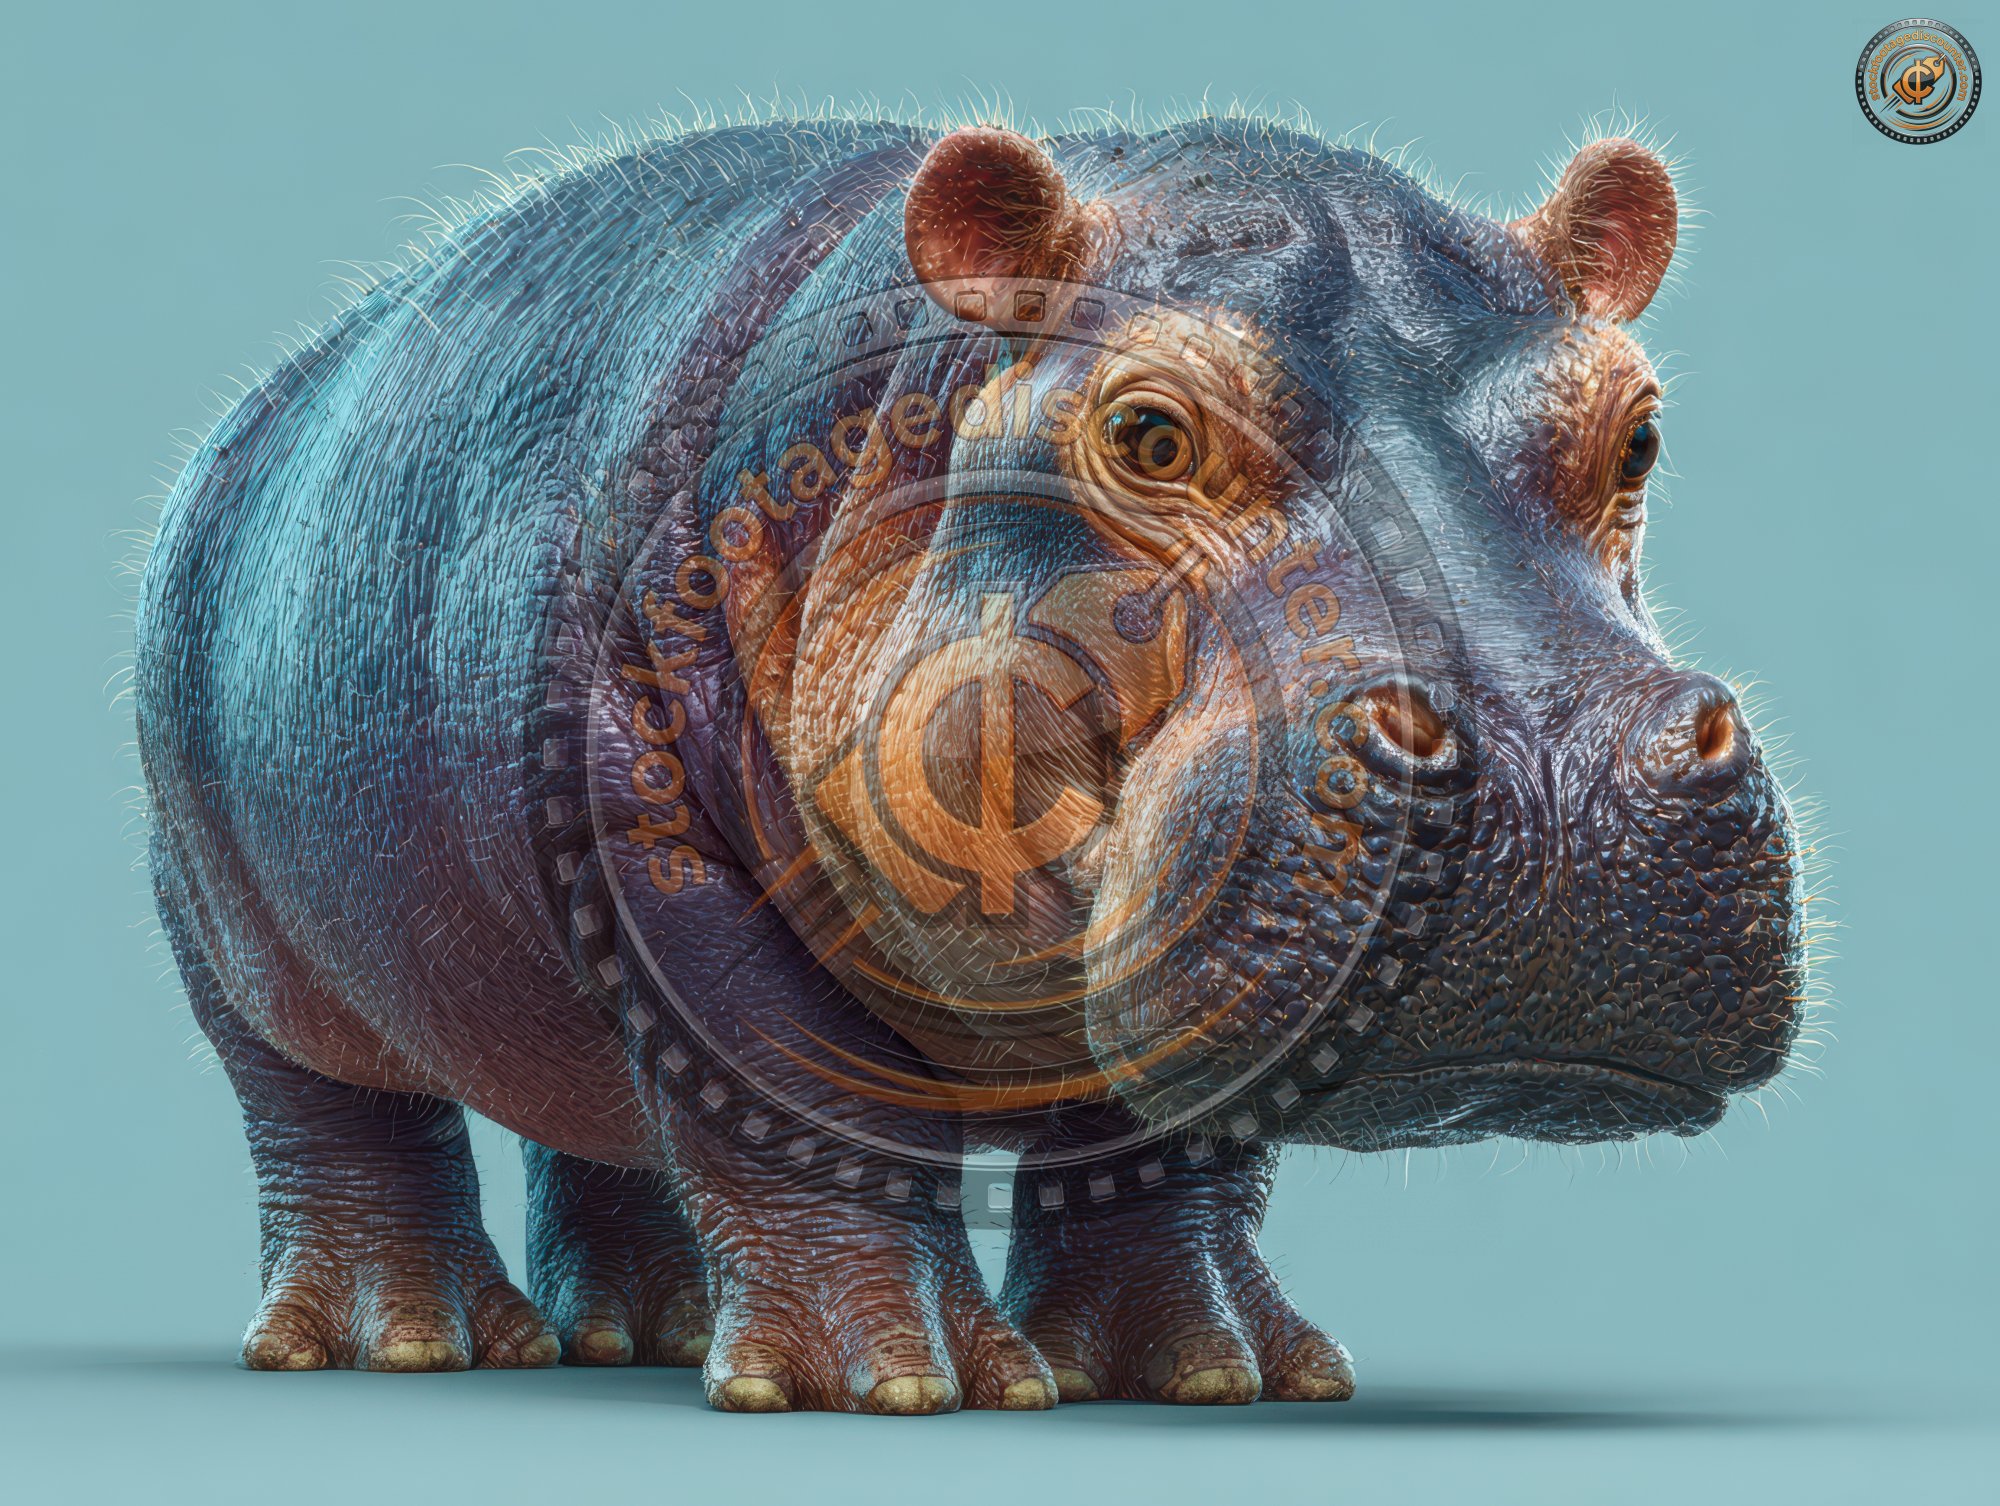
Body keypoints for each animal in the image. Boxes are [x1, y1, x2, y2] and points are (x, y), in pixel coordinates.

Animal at [135, 113, 1807, 1413]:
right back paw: (401, 1341)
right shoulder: (651, 829)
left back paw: (646, 1333)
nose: (1555, 765)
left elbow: (1166, 1149)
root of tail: (245, 418)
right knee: (334, 1113)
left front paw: (1217, 1374)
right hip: (228, 929)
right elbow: (791, 1080)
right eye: (1147, 432)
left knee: (593, 1115)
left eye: (1638, 432)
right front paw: (895, 1381)